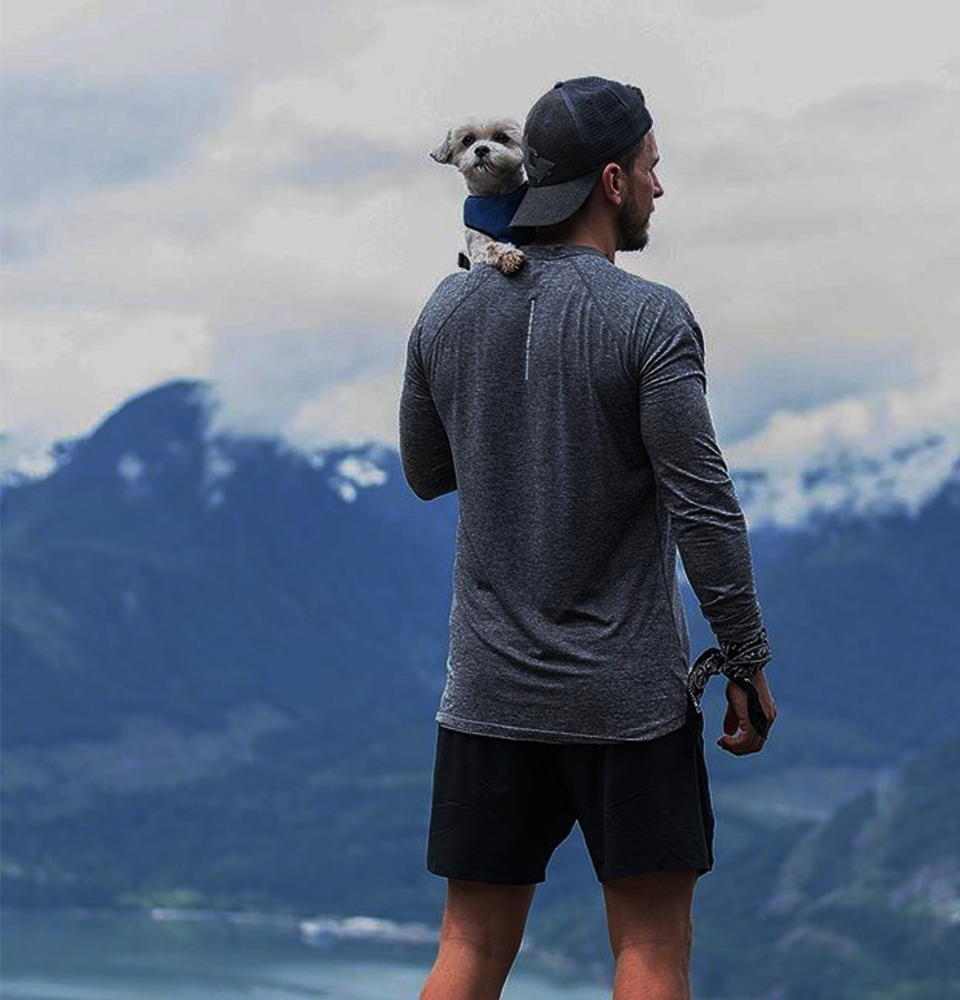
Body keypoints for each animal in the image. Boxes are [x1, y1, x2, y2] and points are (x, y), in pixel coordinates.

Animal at [432, 117, 536, 274]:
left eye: (501, 137)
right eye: (468, 140)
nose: (481, 149)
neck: (496, 196)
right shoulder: (476, 239)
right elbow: (489, 247)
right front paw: (507, 255)